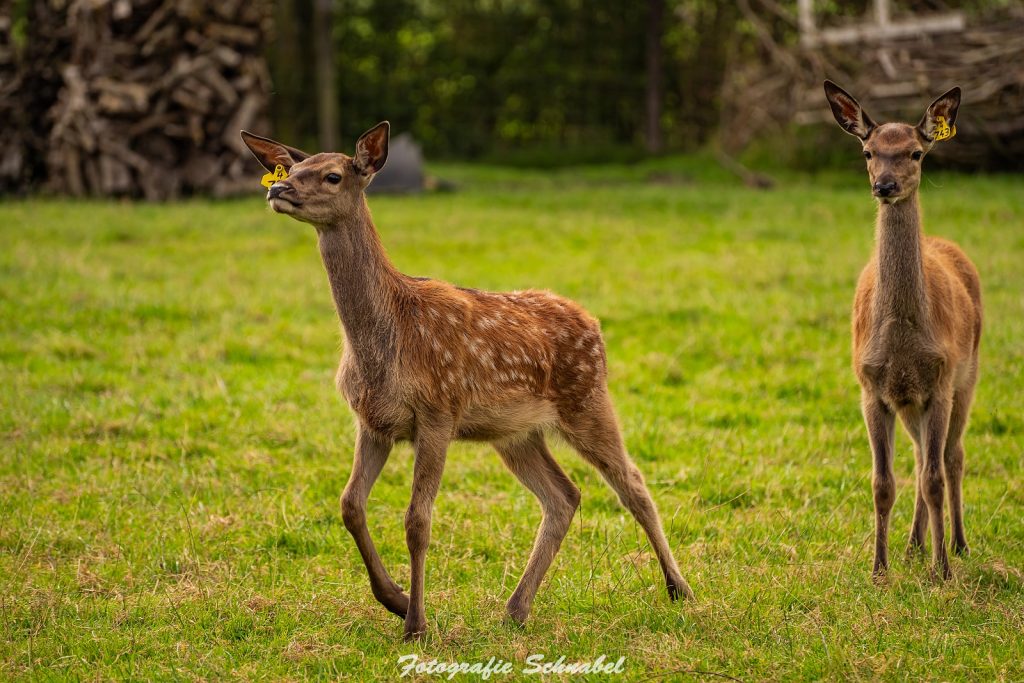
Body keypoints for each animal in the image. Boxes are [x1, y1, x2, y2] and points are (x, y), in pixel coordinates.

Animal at [238, 122, 688, 643]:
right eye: (291, 168)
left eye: (332, 175)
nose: (278, 190)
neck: (385, 337)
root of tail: (593, 323)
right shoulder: (372, 421)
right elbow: (350, 504)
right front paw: (395, 599)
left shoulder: (438, 412)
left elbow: (417, 520)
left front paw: (415, 623)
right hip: (515, 433)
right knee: (564, 495)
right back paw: (515, 608)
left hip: (587, 399)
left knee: (631, 482)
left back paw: (679, 588)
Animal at [819, 81, 978, 581]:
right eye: (868, 151)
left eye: (915, 152)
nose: (884, 185)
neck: (903, 341)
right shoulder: (872, 387)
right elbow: (882, 483)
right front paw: (879, 569)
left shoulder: (940, 381)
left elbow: (934, 478)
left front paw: (942, 572)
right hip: (910, 402)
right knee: (921, 456)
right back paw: (912, 545)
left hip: (967, 375)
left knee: (951, 457)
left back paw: (958, 544)